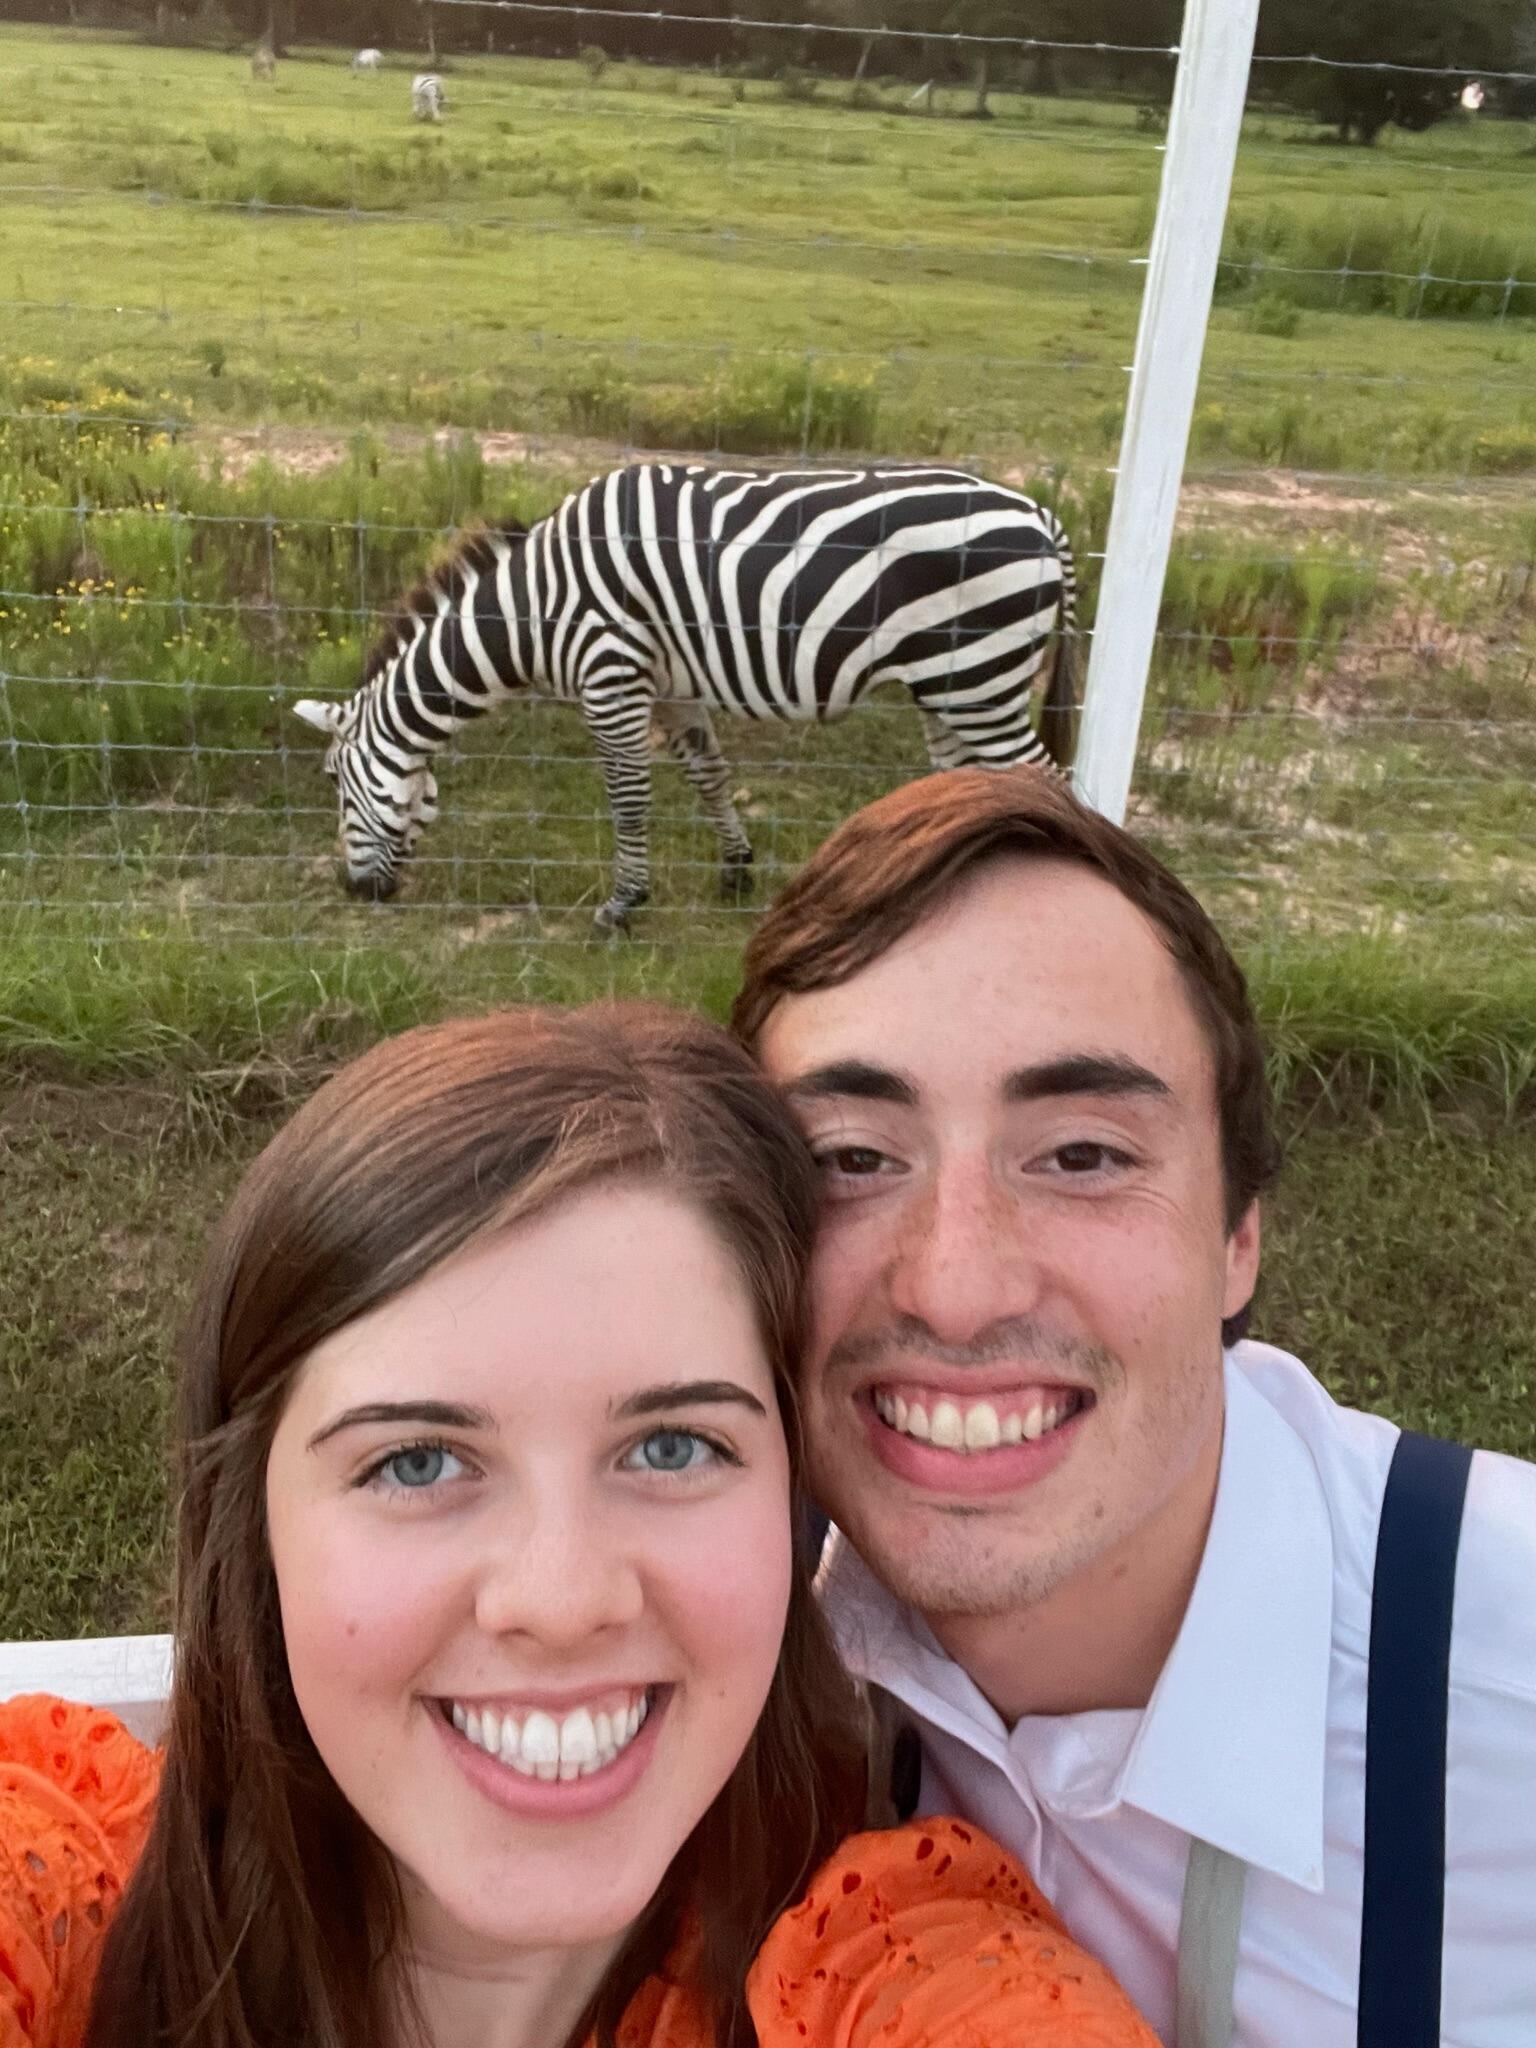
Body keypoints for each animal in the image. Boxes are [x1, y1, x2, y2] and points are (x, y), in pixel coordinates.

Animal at [293, 461, 1078, 930]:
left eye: (332, 781)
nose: (355, 893)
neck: (534, 609)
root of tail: (1040, 513)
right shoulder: (673, 684)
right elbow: (708, 773)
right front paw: (735, 870)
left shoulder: (611, 676)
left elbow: (629, 796)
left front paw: (622, 906)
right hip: (946, 687)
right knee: (973, 783)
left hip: (981, 676)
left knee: (1047, 779)